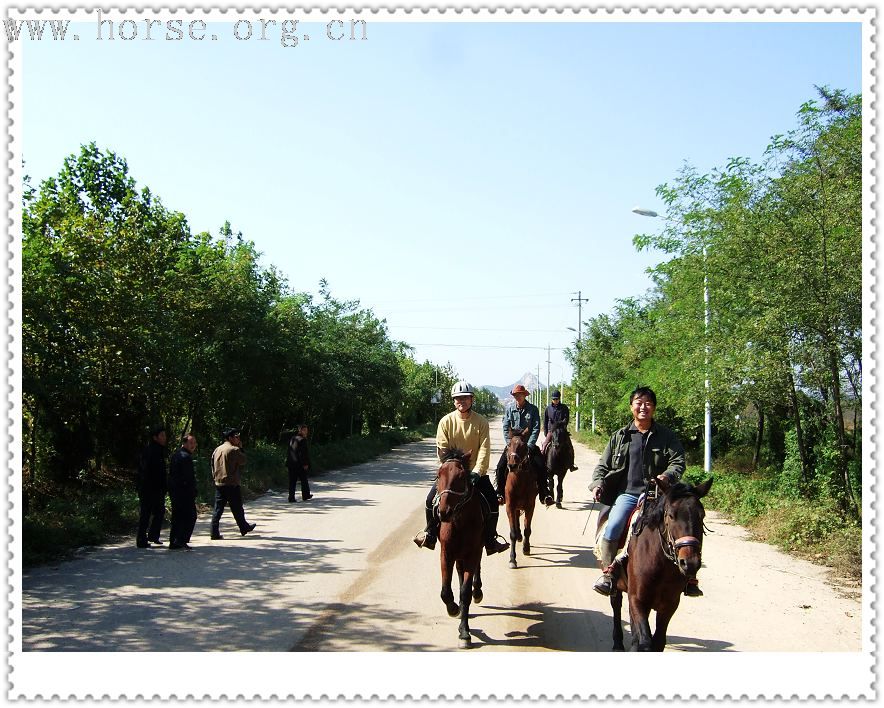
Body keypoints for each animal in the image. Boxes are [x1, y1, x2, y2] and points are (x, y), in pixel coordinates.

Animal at [504, 426, 540, 568]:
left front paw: (526, 548)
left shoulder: (530, 506)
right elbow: (512, 533)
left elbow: (527, 530)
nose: (512, 465)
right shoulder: (509, 506)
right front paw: (512, 559)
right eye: (509, 445)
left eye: (523, 445)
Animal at [612, 476, 716, 652]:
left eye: (701, 515)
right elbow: (645, 641)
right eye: (671, 516)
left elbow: (658, 641)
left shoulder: (669, 605)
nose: (690, 563)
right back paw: (617, 643)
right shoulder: (637, 600)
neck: (660, 566)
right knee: (616, 604)